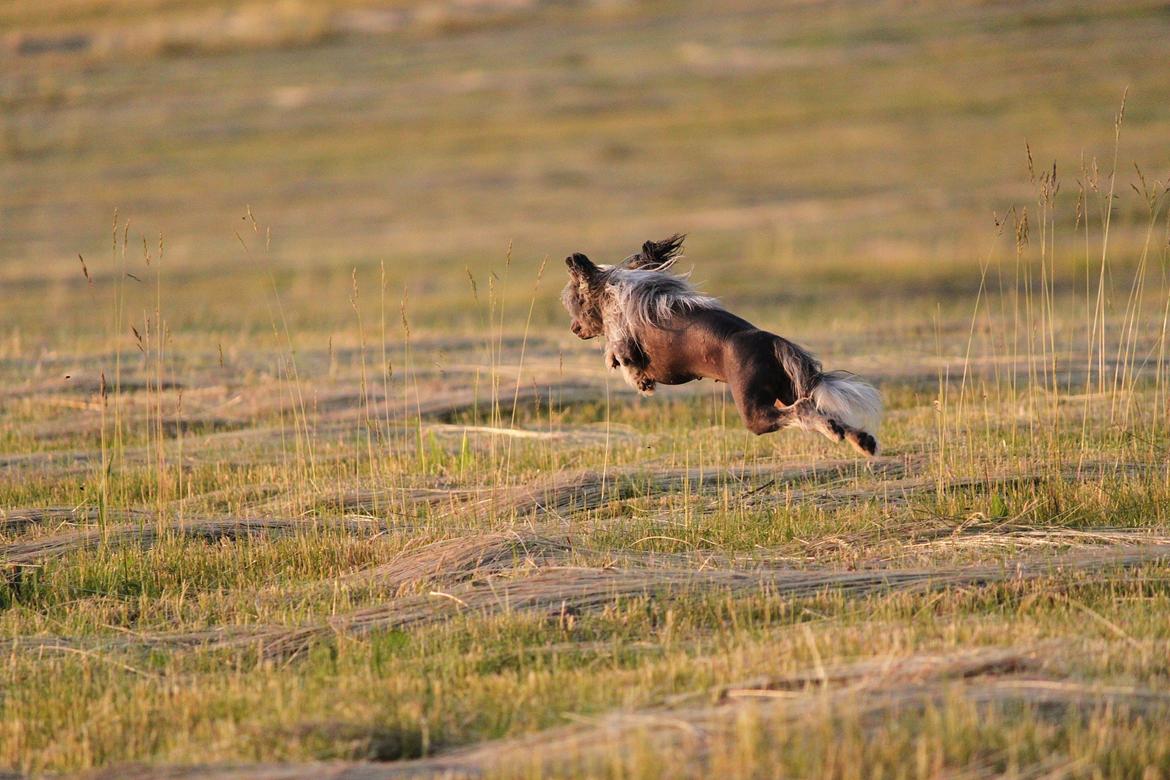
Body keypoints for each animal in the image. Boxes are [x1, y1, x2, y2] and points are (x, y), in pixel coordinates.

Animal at [561, 235, 879, 453]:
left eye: (576, 302)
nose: (574, 328)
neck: (616, 288)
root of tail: (773, 342)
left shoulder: (624, 335)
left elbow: (622, 355)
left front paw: (638, 380)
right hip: (788, 389)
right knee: (822, 410)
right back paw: (861, 440)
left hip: (755, 410)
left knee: (801, 411)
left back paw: (836, 433)